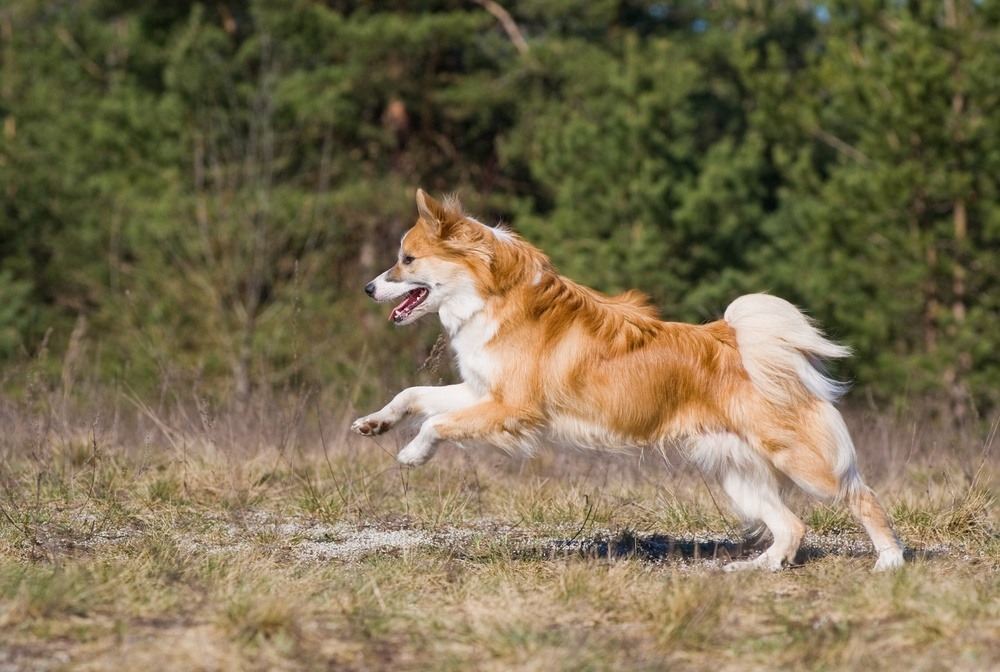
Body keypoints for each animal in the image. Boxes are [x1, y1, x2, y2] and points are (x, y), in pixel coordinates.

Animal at [354, 189, 908, 572]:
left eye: (406, 259)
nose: (368, 288)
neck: (493, 294)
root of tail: (740, 340)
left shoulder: (510, 408)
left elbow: (437, 423)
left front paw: (412, 454)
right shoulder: (481, 393)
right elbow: (414, 396)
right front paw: (376, 424)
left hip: (802, 461)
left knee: (861, 496)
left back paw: (890, 561)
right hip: (737, 473)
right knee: (791, 526)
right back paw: (754, 568)